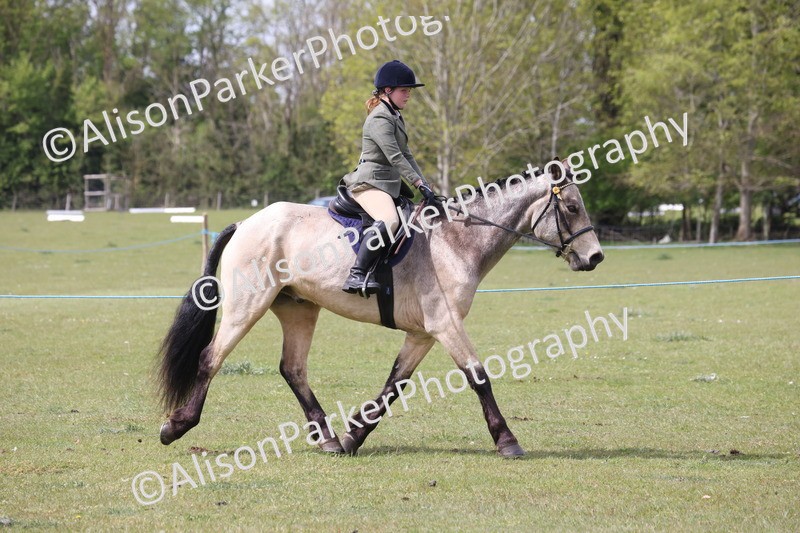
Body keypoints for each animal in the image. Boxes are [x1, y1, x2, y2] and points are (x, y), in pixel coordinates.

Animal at [157, 163, 604, 457]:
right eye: (572, 208)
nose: (595, 257)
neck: (457, 240)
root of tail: (246, 223)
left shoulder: (423, 333)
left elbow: (395, 384)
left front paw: (355, 435)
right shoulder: (446, 325)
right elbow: (478, 377)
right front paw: (507, 441)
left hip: (299, 309)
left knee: (293, 369)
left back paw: (330, 439)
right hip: (247, 305)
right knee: (210, 358)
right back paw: (176, 426)